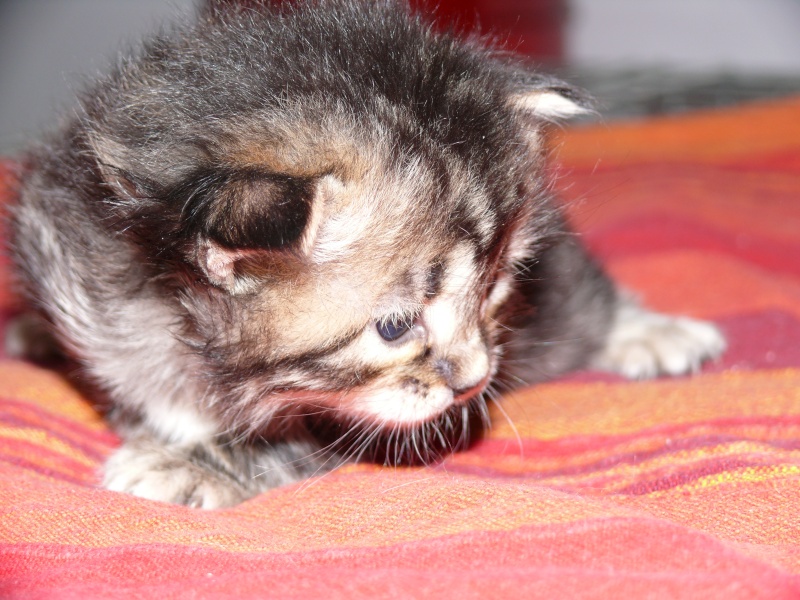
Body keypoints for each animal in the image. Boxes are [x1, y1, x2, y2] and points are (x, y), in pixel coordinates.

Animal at [9, 0, 724, 508]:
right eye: (395, 327)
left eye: (493, 289)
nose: (475, 381)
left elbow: (284, 446)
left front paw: (183, 465)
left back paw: (649, 331)